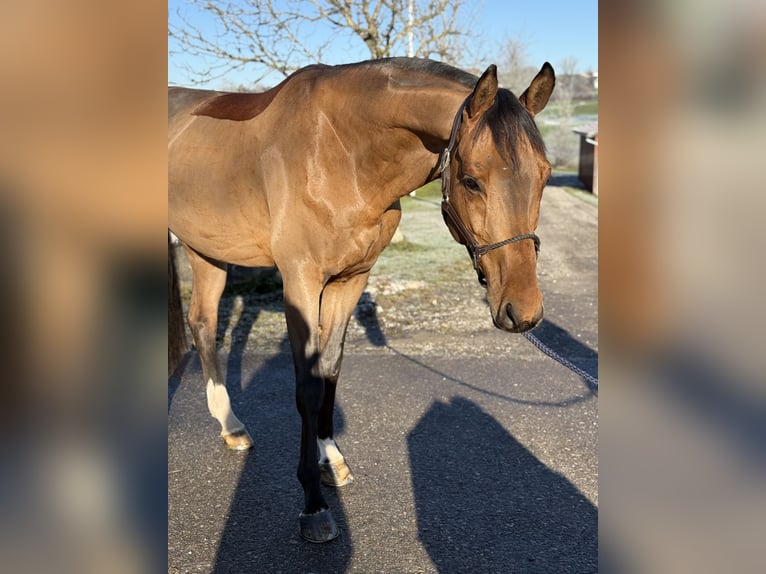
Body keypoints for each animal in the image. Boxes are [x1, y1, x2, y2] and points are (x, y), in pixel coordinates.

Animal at [168, 58, 556, 544]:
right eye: (471, 181)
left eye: (544, 175)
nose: (523, 312)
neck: (339, 152)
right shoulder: (300, 281)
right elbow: (308, 386)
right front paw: (313, 504)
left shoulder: (351, 279)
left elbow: (330, 369)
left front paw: (331, 459)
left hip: (205, 250)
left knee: (202, 323)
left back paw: (231, 426)